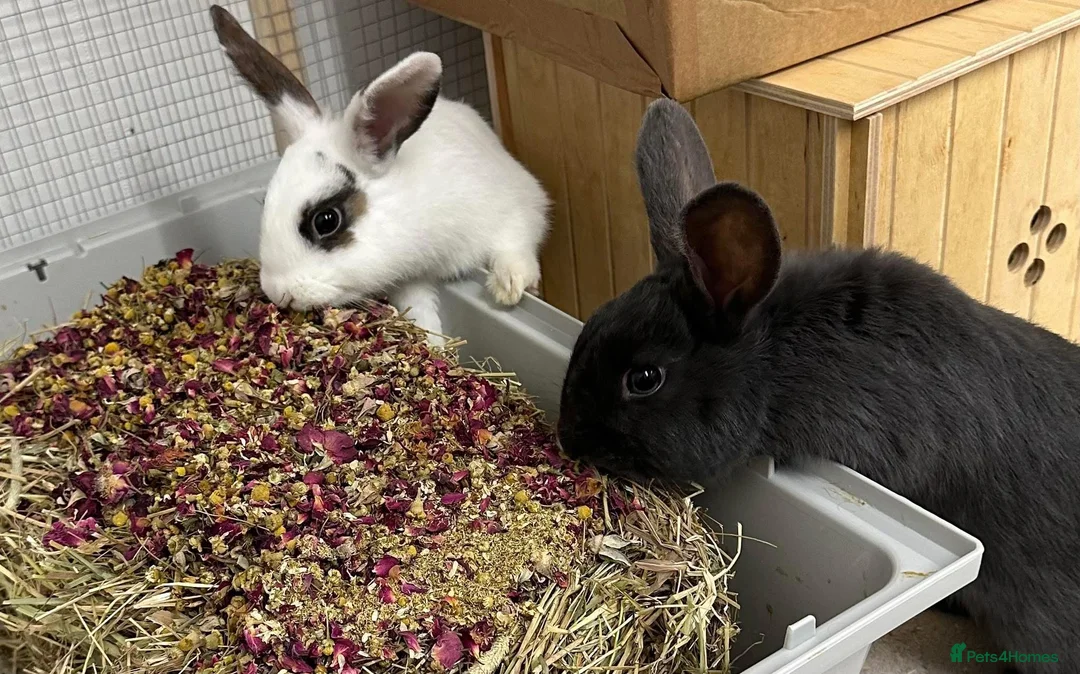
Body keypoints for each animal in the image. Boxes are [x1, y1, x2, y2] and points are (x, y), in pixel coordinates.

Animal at [209, 6, 550, 340]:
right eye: (265, 204)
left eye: (326, 220)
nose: (278, 293)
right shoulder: (411, 280)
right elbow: (421, 310)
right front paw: (435, 343)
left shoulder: (512, 207)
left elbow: (516, 241)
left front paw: (509, 287)